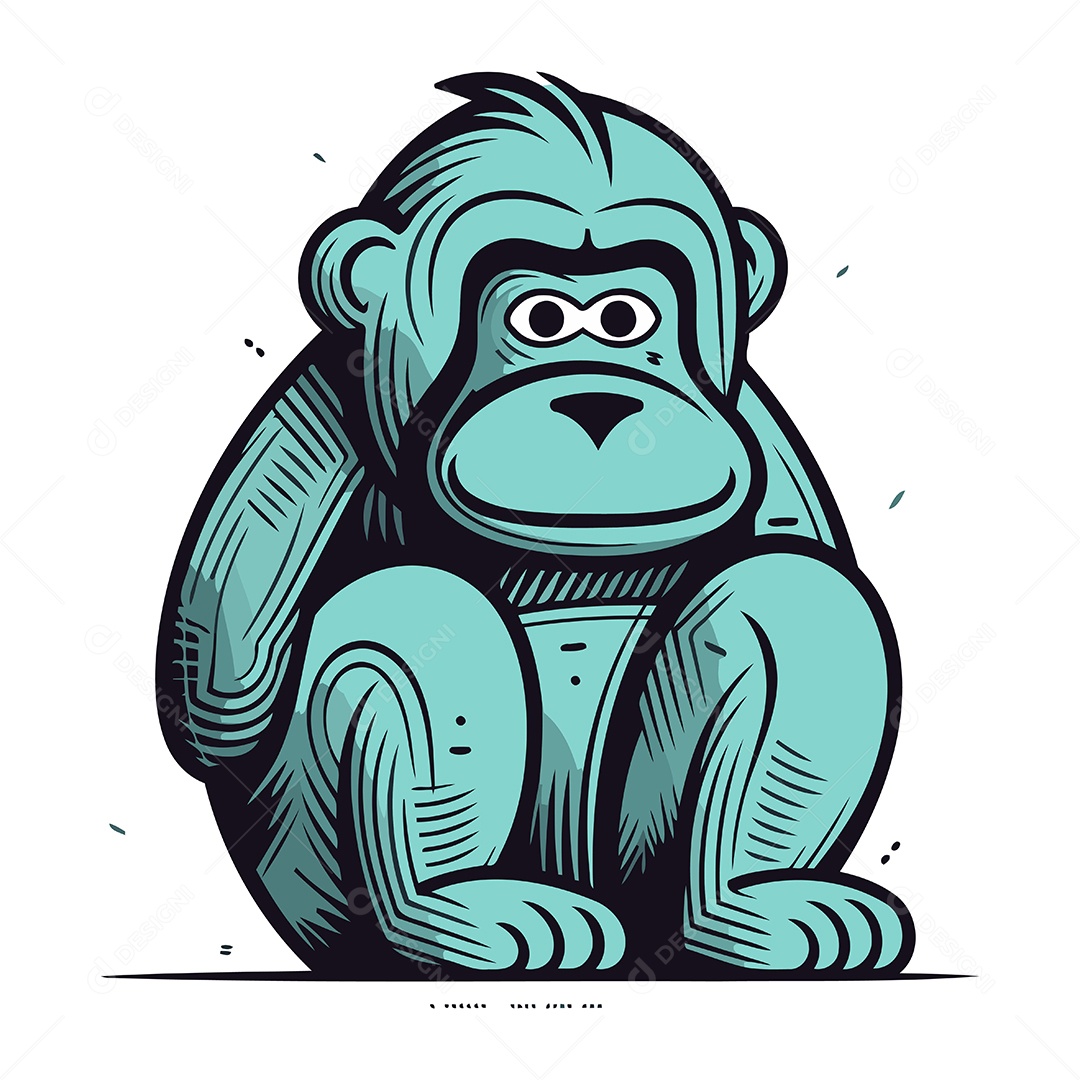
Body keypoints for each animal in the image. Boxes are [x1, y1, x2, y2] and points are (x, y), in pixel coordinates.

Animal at [156, 72, 915, 977]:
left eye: (625, 318)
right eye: (540, 319)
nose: (597, 403)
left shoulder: (754, 422)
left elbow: (802, 551)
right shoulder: (311, 411)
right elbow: (216, 697)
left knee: (797, 606)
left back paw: (743, 909)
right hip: (309, 884)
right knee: (416, 623)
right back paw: (453, 912)